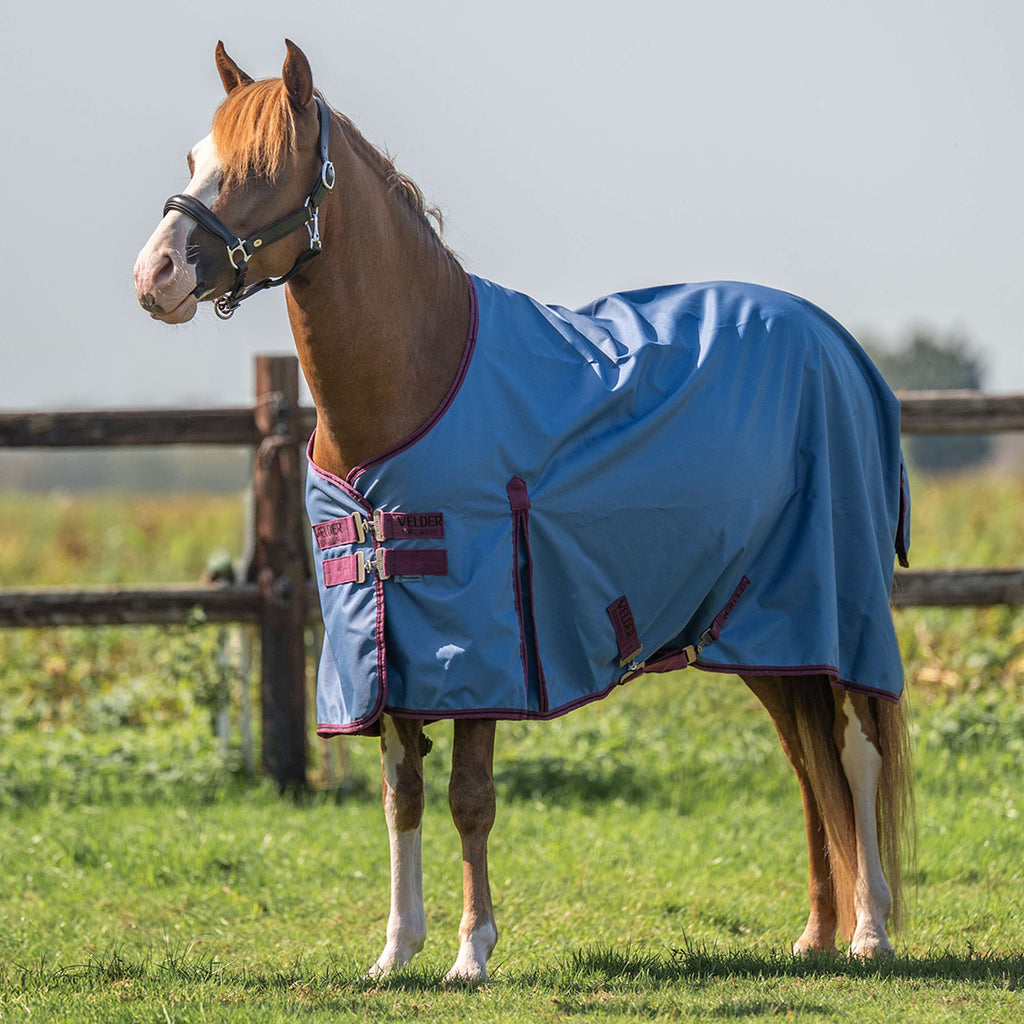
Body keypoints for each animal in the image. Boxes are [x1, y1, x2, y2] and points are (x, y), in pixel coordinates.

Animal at [134, 41, 914, 982]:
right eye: (193, 159)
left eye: (258, 167)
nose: (154, 276)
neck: (420, 375)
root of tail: (838, 349)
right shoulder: (382, 647)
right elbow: (401, 796)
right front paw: (395, 950)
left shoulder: (481, 650)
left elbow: (470, 798)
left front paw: (472, 951)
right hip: (763, 629)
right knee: (808, 764)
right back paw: (816, 935)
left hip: (834, 612)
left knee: (858, 753)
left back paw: (870, 931)